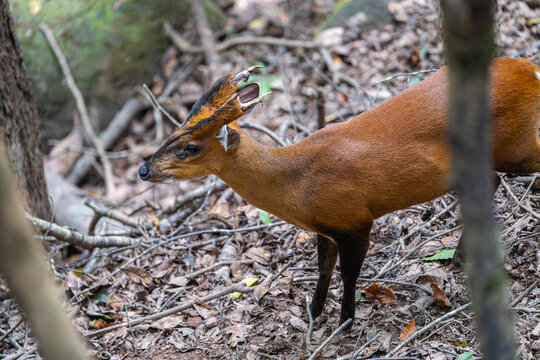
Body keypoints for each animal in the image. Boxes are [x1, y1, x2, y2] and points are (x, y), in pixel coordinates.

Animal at [141, 57, 540, 328]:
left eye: (190, 147)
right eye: (174, 131)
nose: (145, 169)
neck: (297, 184)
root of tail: (528, 68)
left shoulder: (355, 219)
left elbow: (349, 273)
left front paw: (346, 321)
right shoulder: (326, 227)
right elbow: (324, 268)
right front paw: (314, 313)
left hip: (518, 146)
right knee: (490, 183)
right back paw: (460, 256)